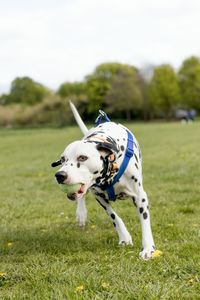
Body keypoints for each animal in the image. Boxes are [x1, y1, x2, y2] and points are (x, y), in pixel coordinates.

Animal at [51, 103, 155, 260]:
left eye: (82, 157)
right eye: (63, 159)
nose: (60, 175)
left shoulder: (140, 197)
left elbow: (145, 222)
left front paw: (148, 248)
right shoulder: (99, 196)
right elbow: (114, 216)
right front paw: (124, 237)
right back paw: (81, 213)